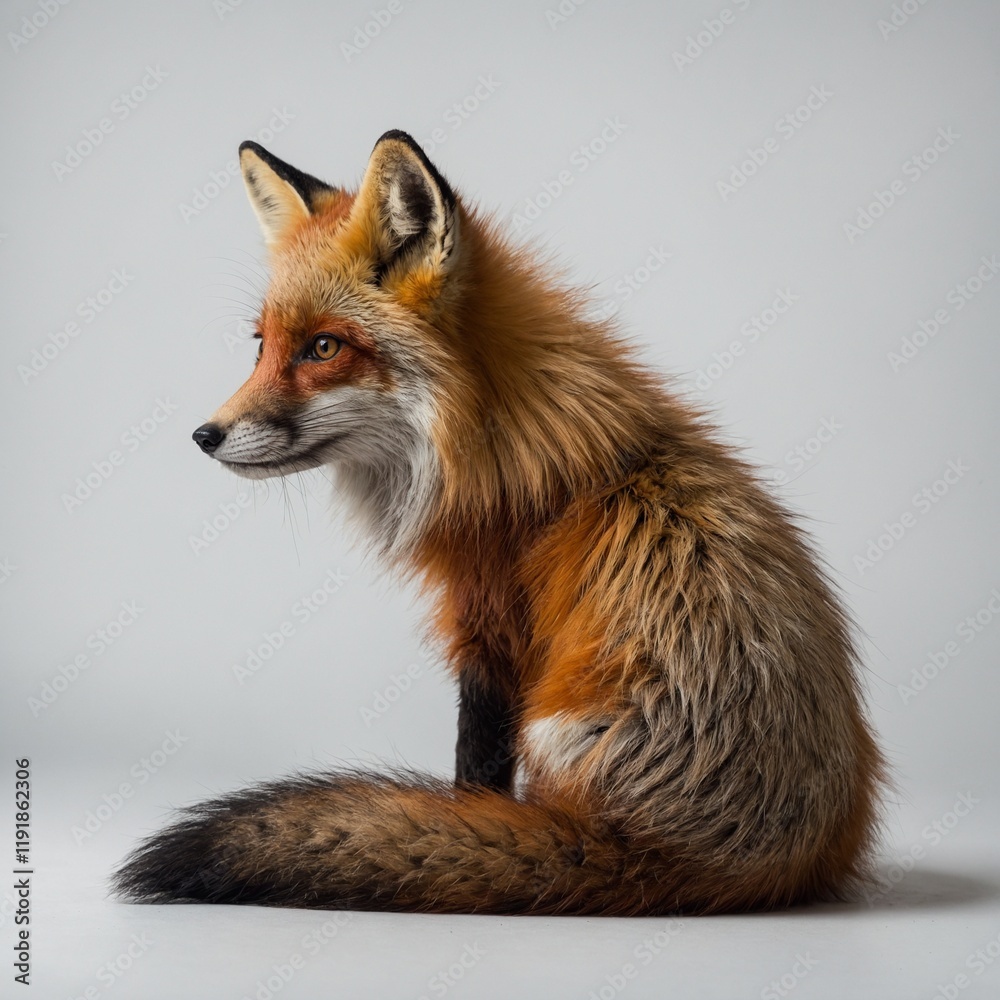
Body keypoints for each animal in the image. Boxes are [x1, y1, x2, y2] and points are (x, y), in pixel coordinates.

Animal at [113, 130, 884, 915]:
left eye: (324, 348)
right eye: (260, 344)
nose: (205, 436)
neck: (501, 450)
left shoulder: (489, 625)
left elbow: (475, 772)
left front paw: (462, 821)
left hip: (556, 732)